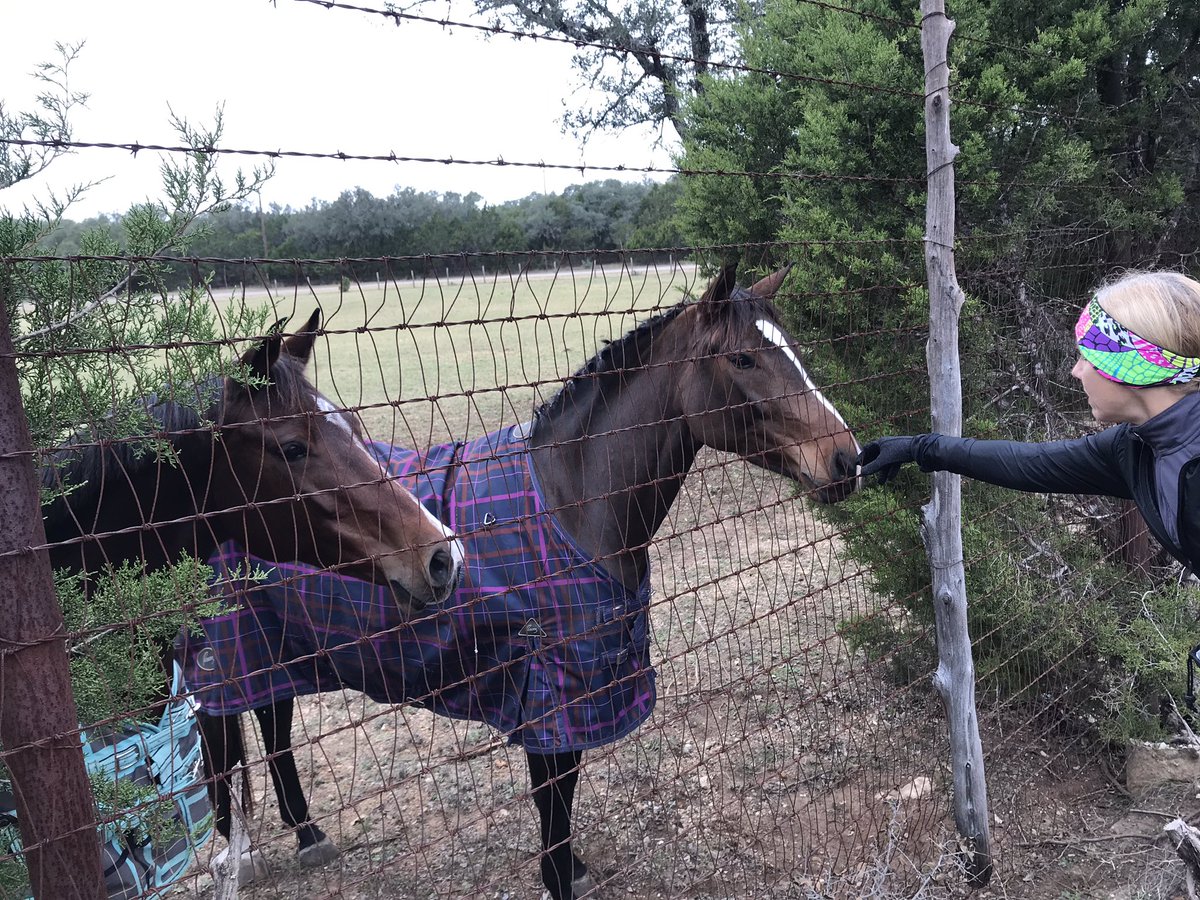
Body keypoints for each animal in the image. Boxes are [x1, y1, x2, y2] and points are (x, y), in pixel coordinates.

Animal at [180, 262, 860, 895]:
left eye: (792, 347)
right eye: (743, 357)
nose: (846, 459)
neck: (568, 505)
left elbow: (563, 790)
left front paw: (571, 869)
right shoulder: (551, 690)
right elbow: (553, 794)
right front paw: (560, 876)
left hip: (277, 650)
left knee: (273, 726)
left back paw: (308, 834)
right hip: (224, 660)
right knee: (223, 750)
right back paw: (241, 855)